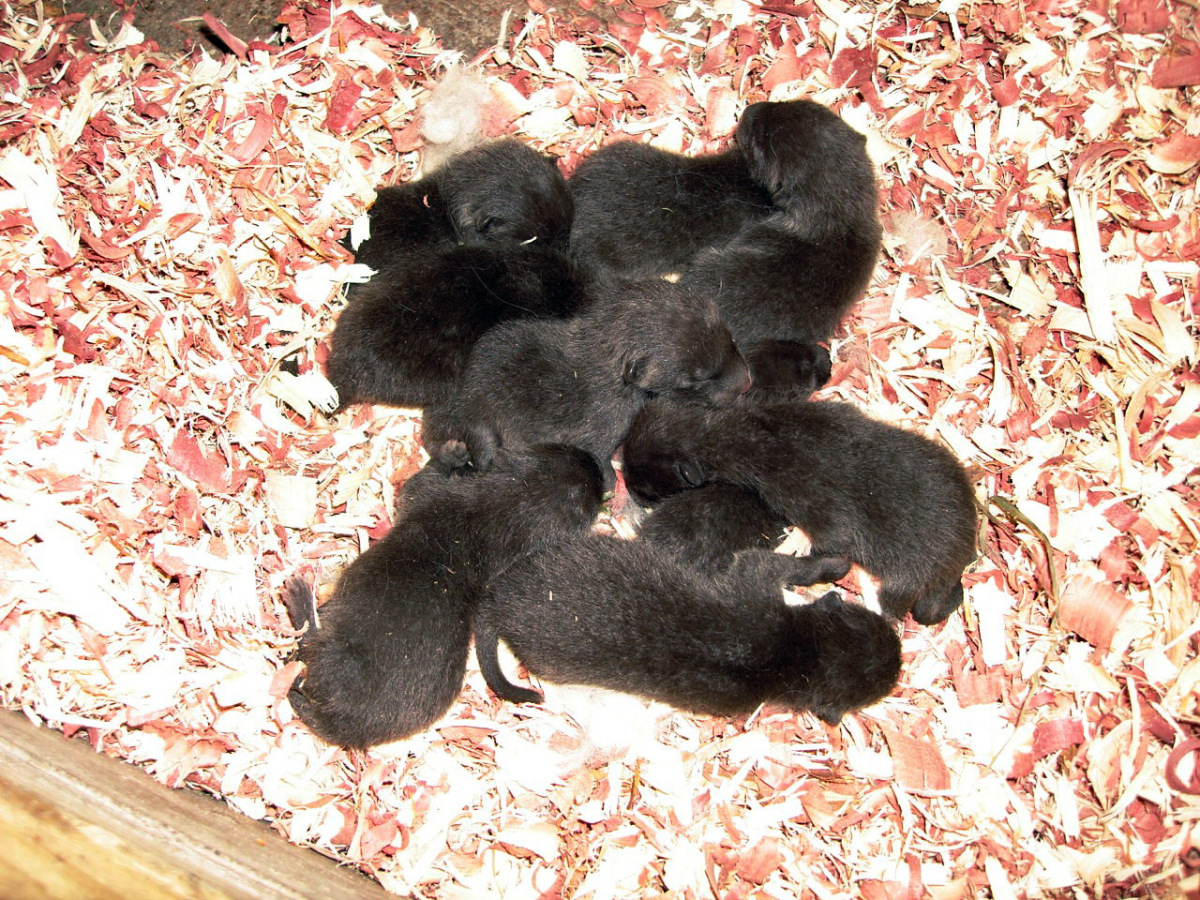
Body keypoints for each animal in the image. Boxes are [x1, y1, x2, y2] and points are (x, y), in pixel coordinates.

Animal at [422, 280, 748, 480]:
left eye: (730, 338)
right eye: (692, 382)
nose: (747, 385)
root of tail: (459, 402)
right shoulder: (604, 429)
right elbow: (601, 459)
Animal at [472, 540, 902, 729]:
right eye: (873, 624)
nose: (898, 652)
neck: (793, 652)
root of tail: (496, 603)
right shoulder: (755, 579)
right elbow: (777, 563)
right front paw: (835, 564)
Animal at [624, 400, 979, 628]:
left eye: (644, 483)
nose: (629, 490)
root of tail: (961, 555)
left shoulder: (819, 511)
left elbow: (833, 537)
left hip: (904, 582)